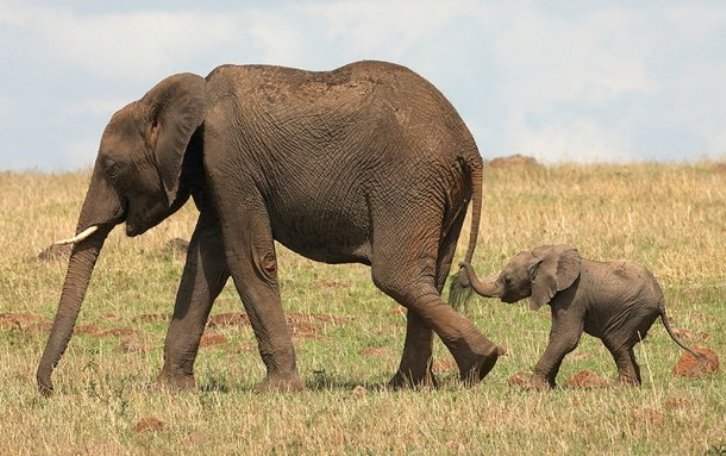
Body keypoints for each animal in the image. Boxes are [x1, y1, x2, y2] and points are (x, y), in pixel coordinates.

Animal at [37, 61, 504, 396]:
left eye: (112, 167)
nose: (48, 388)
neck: (176, 98)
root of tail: (469, 147)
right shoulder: (213, 176)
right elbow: (203, 266)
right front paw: (167, 393)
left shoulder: (229, 162)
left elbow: (247, 260)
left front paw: (276, 391)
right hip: (440, 190)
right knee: (430, 277)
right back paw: (414, 384)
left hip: (407, 184)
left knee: (398, 275)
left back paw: (482, 363)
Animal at [458, 244, 704, 390]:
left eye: (508, 280)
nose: (461, 263)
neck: (548, 255)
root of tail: (661, 300)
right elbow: (559, 337)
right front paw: (549, 387)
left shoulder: (572, 296)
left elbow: (566, 337)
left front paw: (532, 388)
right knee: (626, 345)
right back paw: (636, 384)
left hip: (634, 309)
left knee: (616, 342)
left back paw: (621, 387)